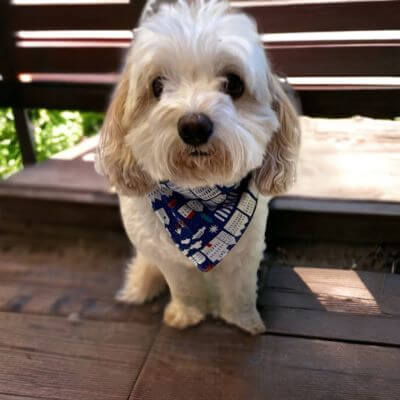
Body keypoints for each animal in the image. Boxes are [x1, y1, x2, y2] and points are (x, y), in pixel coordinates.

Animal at [95, 0, 298, 334]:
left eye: (234, 83)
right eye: (157, 85)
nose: (193, 126)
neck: (200, 197)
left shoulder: (246, 251)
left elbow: (241, 291)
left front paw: (244, 320)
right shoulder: (171, 260)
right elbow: (184, 288)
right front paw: (186, 314)